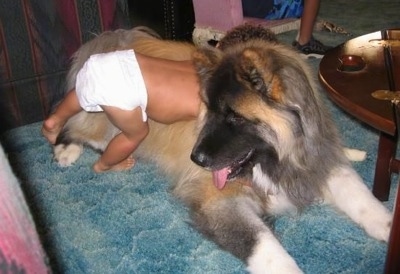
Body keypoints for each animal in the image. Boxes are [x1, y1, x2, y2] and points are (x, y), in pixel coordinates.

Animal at [53, 25, 390, 272]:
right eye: (209, 111)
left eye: (234, 117)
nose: (196, 158)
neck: (275, 160)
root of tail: (109, 43)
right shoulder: (220, 201)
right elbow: (265, 246)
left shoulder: (315, 163)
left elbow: (360, 195)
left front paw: (388, 226)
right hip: (119, 119)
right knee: (75, 125)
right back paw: (67, 149)